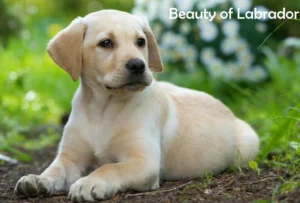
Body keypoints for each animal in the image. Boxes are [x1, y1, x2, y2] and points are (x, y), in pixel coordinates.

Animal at [14, 9, 258, 203]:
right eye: (106, 43)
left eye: (141, 42)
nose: (138, 65)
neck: (104, 107)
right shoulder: (70, 158)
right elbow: (55, 169)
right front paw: (37, 179)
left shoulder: (143, 162)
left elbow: (110, 167)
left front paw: (88, 183)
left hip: (247, 146)